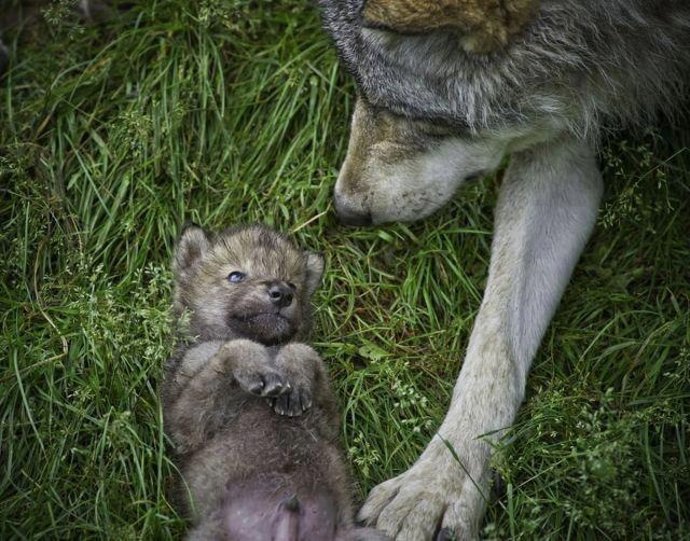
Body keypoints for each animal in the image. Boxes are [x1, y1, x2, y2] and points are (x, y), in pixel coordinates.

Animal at [162, 224, 387, 541]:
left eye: (292, 283)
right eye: (236, 275)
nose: (283, 293)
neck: (269, 346)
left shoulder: (327, 421)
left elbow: (303, 349)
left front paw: (292, 373)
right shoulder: (185, 421)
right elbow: (234, 347)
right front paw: (257, 366)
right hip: (207, 534)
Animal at [319, 1, 690, 539]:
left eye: (423, 122)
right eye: (359, 90)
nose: (344, 210)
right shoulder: (563, 131)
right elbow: (494, 339)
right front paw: (437, 485)